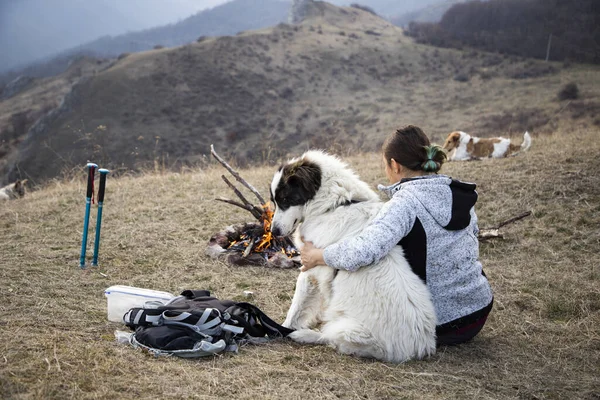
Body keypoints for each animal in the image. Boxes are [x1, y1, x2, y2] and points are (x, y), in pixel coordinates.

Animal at [270, 150, 436, 362]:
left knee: (330, 336)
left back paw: (305, 335)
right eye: (275, 201)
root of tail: (418, 347)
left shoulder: (311, 269)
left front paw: (283, 328)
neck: (334, 205)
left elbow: (296, 306)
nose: (273, 231)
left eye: (285, 200)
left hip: (349, 330)